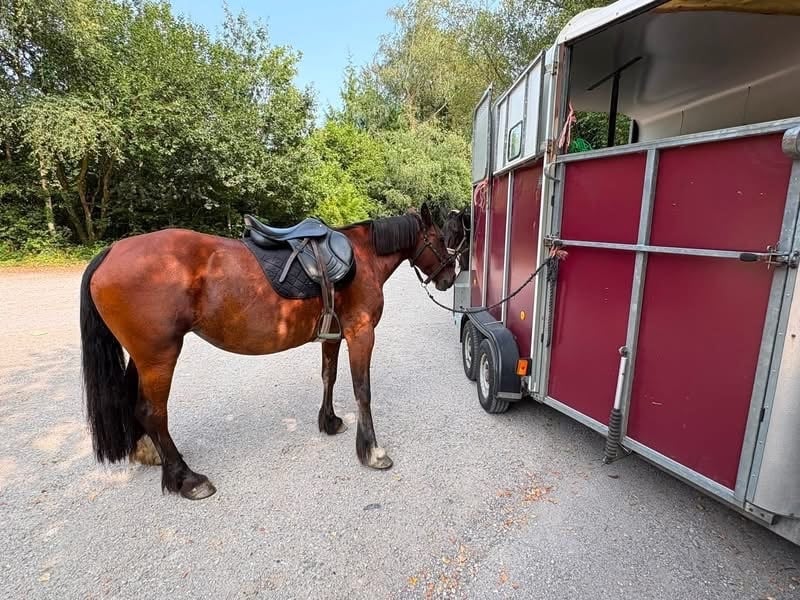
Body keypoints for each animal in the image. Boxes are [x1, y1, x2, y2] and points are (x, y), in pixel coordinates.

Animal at [79, 203, 456, 500]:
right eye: (440, 240)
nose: (449, 279)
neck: (363, 258)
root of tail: (111, 251)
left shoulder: (334, 335)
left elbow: (329, 377)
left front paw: (330, 421)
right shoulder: (361, 333)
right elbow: (362, 391)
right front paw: (372, 452)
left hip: (142, 357)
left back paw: (149, 453)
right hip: (160, 356)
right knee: (153, 412)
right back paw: (187, 479)